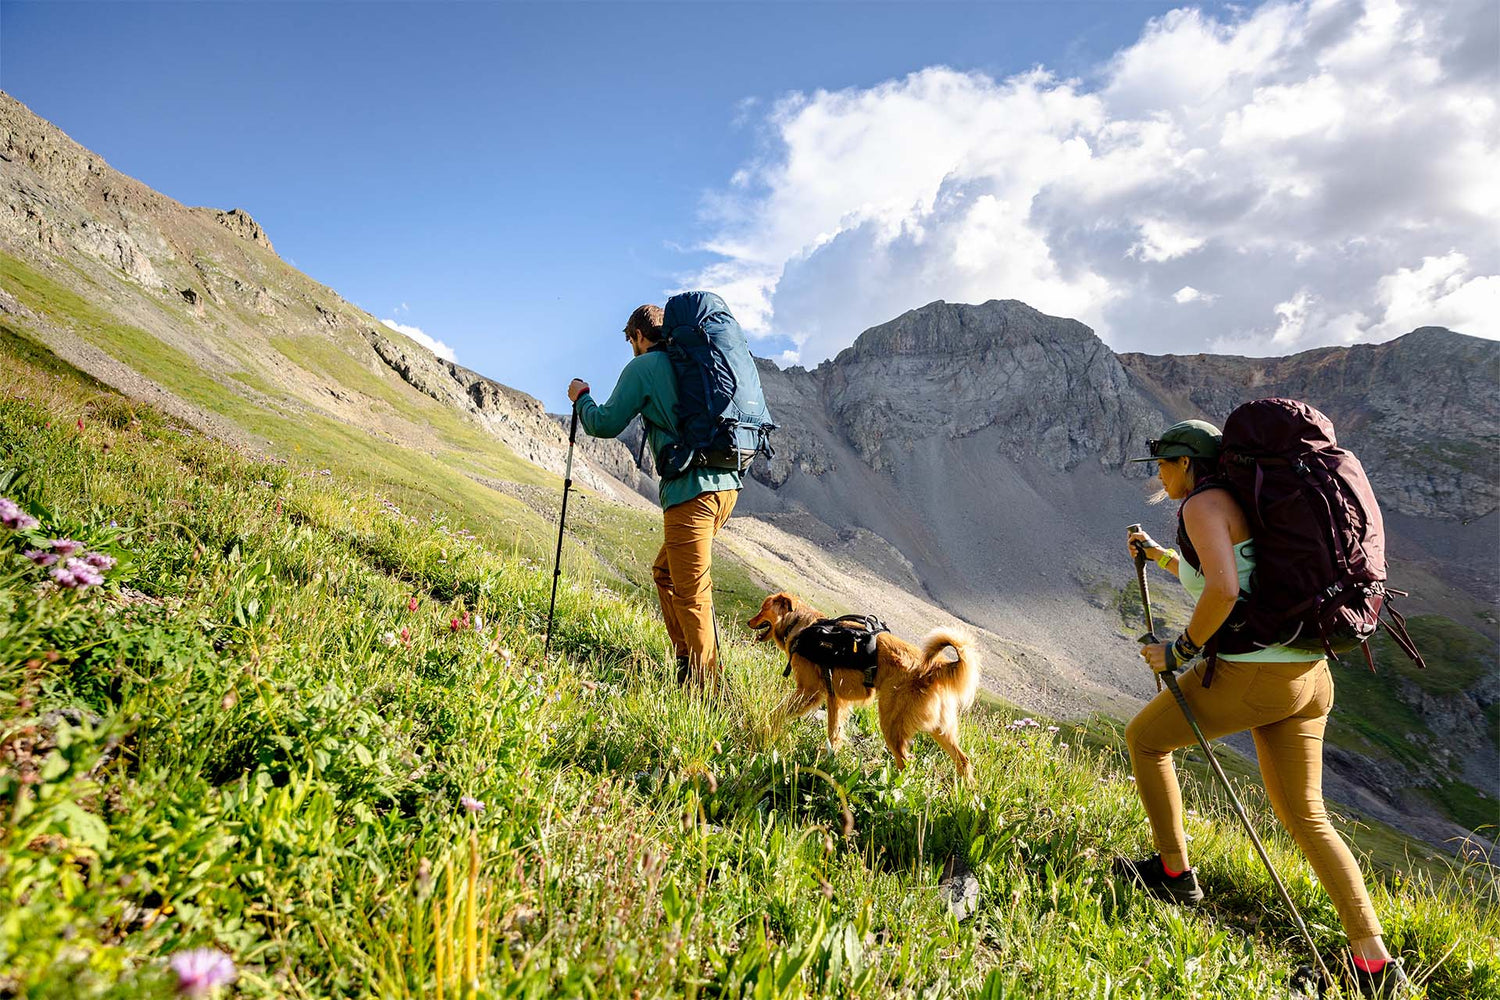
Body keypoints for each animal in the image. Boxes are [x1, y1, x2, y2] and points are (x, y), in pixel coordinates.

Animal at [744, 590, 978, 779]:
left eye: (763, 609)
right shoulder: (835, 699)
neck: (800, 626)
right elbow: (834, 733)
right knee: (963, 760)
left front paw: (766, 726)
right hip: (941, 729)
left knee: (907, 763)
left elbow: (779, 712)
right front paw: (829, 758)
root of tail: (936, 667)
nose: (748, 622)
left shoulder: (809, 691)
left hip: (892, 723)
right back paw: (966, 791)